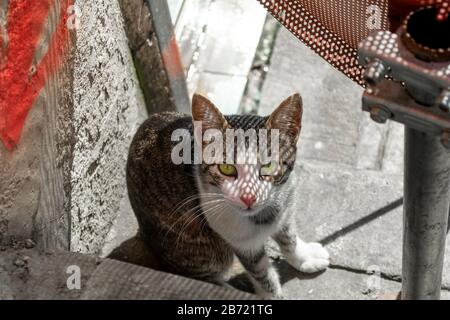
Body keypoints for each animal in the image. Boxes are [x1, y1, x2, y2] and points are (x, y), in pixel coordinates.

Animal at [126, 94, 330, 298]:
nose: (248, 197)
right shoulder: (242, 243)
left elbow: (289, 239)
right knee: (204, 277)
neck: (265, 215)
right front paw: (271, 294)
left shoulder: (285, 208)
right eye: (226, 168)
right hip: (204, 250)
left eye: (269, 166)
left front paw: (304, 257)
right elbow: (263, 275)